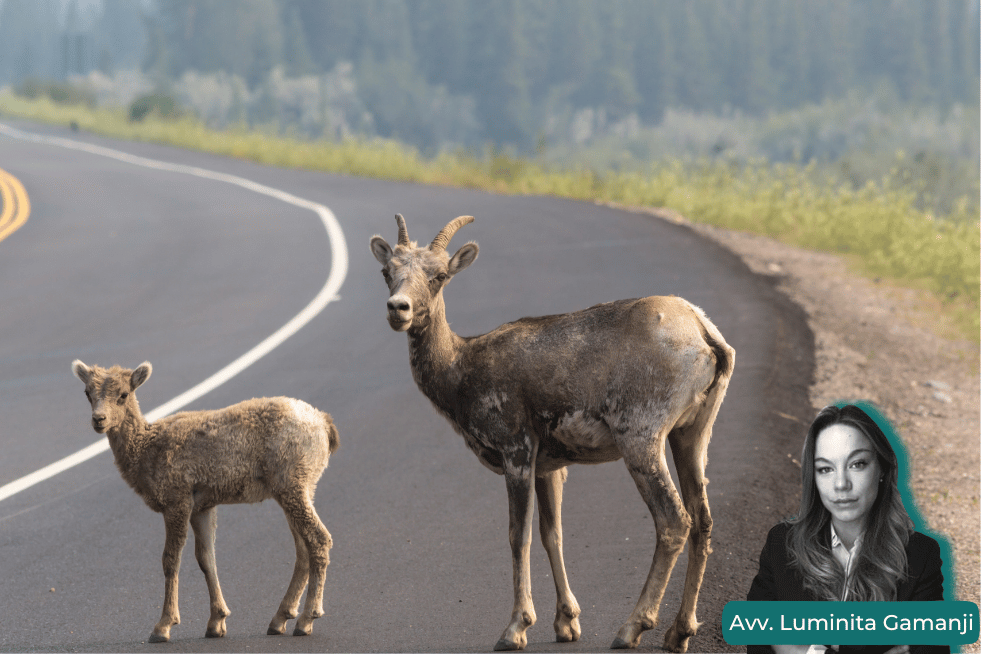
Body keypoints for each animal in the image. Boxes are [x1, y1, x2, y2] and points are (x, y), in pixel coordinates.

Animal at [69, 364, 336, 644]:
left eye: (123, 394)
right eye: (87, 392)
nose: (99, 419)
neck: (145, 451)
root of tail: (326, 426)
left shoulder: (177, 499)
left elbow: (170, 559)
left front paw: (163, 626)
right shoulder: (202, 506)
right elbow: (207, 558)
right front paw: (216, 623)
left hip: (292, 484)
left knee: (319, 538)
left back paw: (306, 619)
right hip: (298, 489)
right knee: (303, 547)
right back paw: (280, 619)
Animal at [370, 214, 736, 652]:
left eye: (439, 275)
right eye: (387, 271)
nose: (398, 308)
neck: (460, 373)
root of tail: (707, 337)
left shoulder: (516, 448)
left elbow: (518, 535)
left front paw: (515, 628)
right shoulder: (550, 464)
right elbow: (552, 533)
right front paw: (566, 623)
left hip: (641, 434)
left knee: (674, 520)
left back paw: (631, 628)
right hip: (693, 433)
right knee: (703, 520)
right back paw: (679, 632)